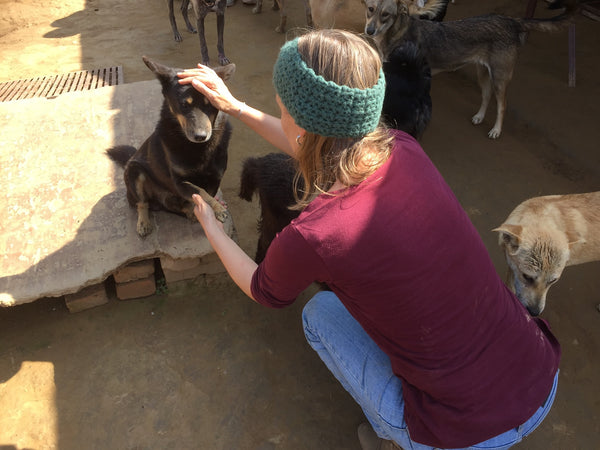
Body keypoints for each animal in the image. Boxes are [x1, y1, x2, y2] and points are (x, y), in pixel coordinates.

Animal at [106, 56, 233, 237]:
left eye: (210, 104)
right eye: (184, 105)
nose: (200, 136)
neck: (197, 149)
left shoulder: (215, 177)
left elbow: (206, 194)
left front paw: (212, 210)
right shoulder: (180, 182)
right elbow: (200, 192)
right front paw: (217, 209)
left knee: (176, 207)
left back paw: (189, 212)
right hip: (134, 171)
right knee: (142, 203)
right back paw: (144, 222)